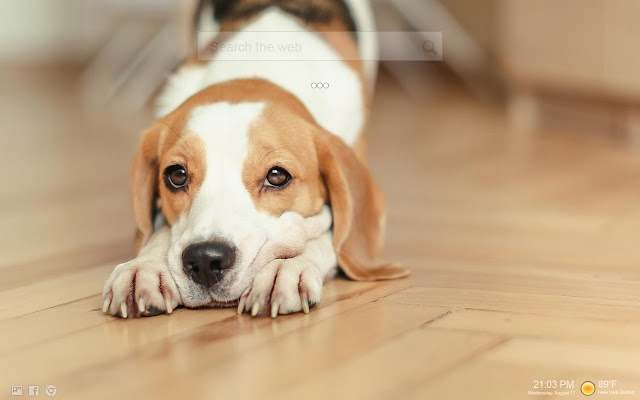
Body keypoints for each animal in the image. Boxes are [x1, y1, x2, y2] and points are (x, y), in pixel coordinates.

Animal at [102, 0, 408, 318]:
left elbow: (326, 234)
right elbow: (160, 231)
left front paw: (287, 269)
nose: (205, 260)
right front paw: (144, 266)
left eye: (277, 176)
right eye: (176, 175)